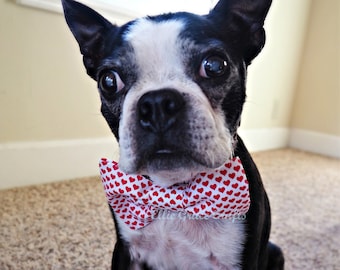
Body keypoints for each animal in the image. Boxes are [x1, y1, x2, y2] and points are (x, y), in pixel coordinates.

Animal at [61, 0, 284, 268]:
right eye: (109, 81)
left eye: (214, 66)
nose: (157, 103)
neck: (172, 191)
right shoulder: (125, 250)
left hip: (275, 251)